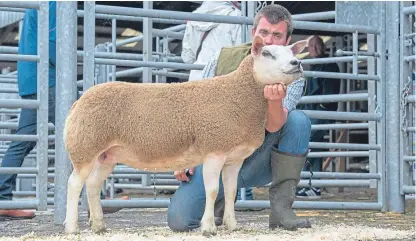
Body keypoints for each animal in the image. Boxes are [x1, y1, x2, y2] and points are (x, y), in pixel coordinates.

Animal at [61, 34, 308, 236]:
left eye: (292, 53)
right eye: (267, 53)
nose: (297, 63)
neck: (239, 94)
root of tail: (78, 103)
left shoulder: (234, 158)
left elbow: (230, 192)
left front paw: (232, 225)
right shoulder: (214, 149)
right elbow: (212, 190)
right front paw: (208, 228)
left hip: (107, 154)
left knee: (92, 185)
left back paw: (99, 226)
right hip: (85, 147)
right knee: (74, 184)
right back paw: (72, 228)